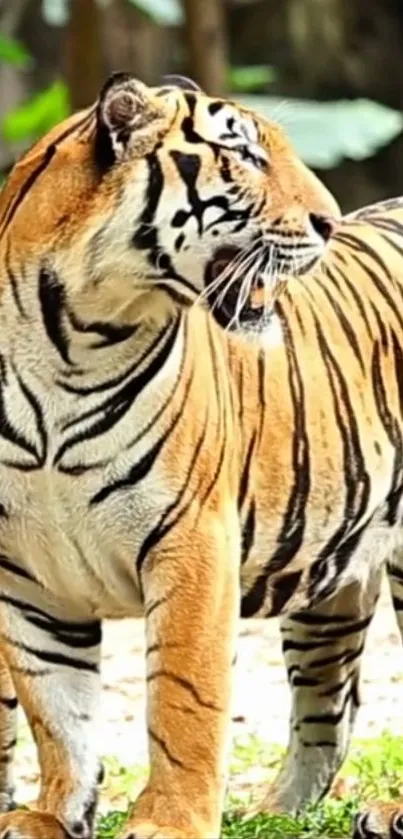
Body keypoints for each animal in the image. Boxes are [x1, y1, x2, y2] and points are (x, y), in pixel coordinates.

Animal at [0, 69, 400, 839]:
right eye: (243, 155)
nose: (330, 223)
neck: (71, 344)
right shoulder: (24, 571)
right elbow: (55, 706)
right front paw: (54, 815)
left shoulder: (191, 538)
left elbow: (183, 696)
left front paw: (170, 822)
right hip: (332, 584)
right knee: (329, 712)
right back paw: (273, 814)